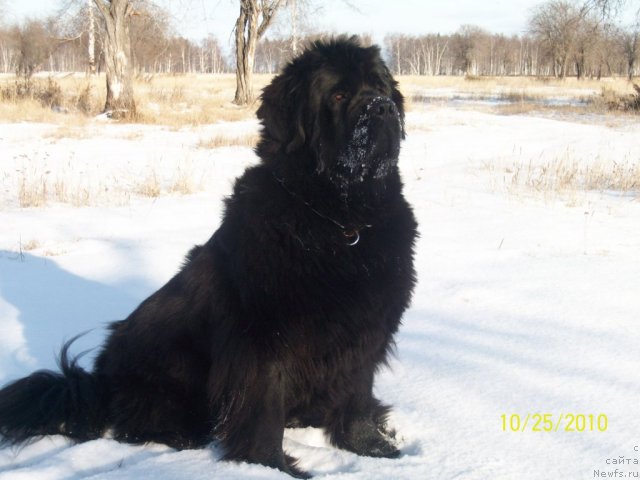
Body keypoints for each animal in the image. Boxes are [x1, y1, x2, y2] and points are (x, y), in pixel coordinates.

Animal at [0, 36, 418, 476]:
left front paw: (373, 447)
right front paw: (270, 466)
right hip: (169, 362)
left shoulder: (366, 327)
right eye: (338, 95)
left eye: (381, 88)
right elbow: (264, 407)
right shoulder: (262, 336)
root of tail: (98, 383)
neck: (341, 220)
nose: (383, 108)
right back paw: (180, 435)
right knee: (139, 420)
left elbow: (357, 395)